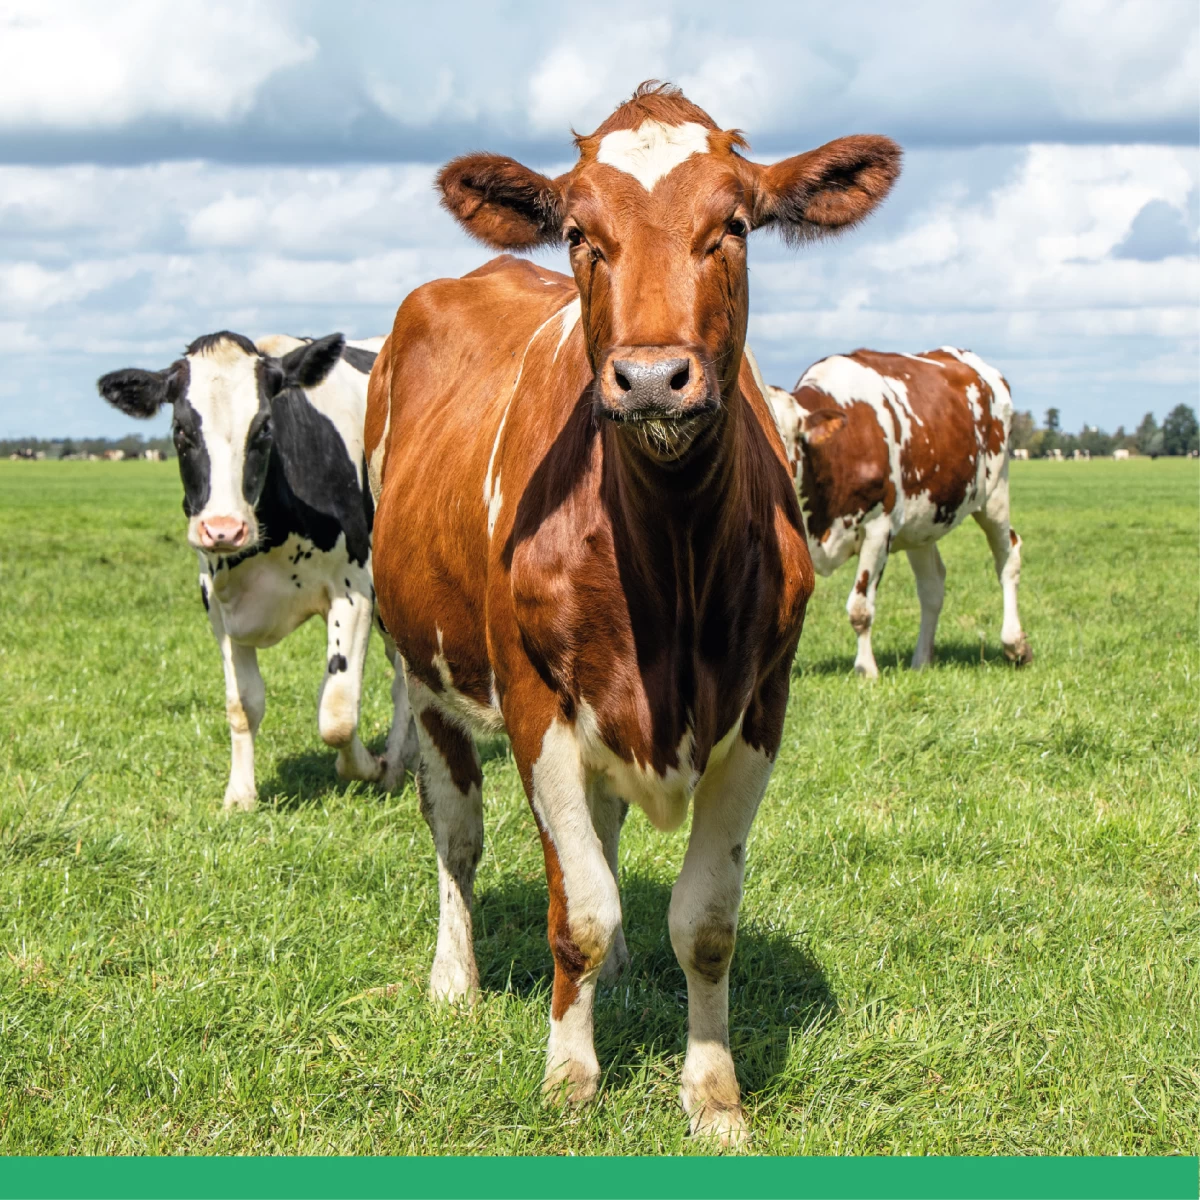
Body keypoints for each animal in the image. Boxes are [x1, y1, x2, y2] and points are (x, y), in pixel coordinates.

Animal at [98, 331, 418, 811]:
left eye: (265, 427)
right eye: (181, 430)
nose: (223, 529)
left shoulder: (355, 590)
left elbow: (337, 712)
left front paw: (368, 768)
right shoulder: (218, 603)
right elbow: (243, 705)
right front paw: (240, 794)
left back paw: (395, 764)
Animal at [366, 82, 900, 1142]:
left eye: (734, 225)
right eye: (580, 234)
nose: (652, 377)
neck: (671, 556)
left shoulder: (761, 707)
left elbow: (703, 920)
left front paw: (713, 1094)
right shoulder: (535, 707)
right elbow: (575, 910)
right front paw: (570, 1078)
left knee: (601, 843)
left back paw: (609, 979)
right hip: (426, 671)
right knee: (459, 833)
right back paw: (456, 979)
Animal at [765, 347, 1032, 678]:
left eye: (786, 436)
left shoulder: (879, 528)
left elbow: (860, 608)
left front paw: (866, 670)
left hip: (994, 496)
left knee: (1008, 558)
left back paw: (1014, 644)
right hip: (924, 521)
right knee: (932, 586)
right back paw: (921, 660)